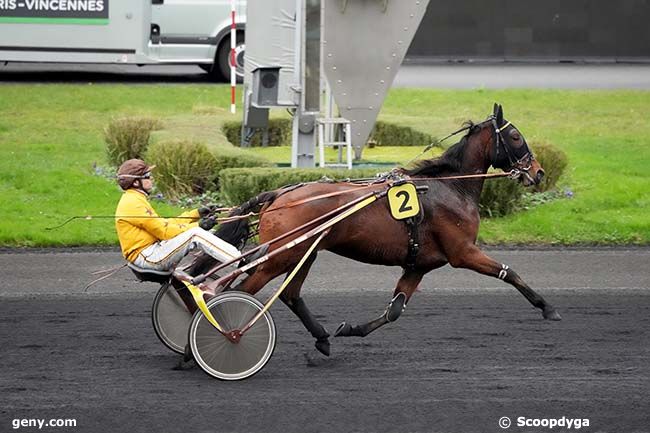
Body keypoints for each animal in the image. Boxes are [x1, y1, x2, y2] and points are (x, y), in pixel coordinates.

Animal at [215, 103, 560, 356]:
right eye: (515, 136)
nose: (539, 172)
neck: (452, 188)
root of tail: (278, 194)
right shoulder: (463, 252)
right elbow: (509, 272)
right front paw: (547, 307)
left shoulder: (419, 264)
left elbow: (395, 310)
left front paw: (351, 329)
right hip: (281, 257)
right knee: (239, 291)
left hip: (304, 254)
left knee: (290, 294)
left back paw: (322, 338)